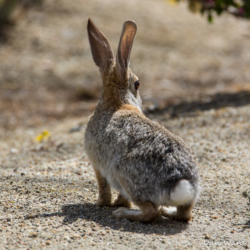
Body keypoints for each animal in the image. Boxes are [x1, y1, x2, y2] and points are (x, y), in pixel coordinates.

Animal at [84, 19, 201, 223]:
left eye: (137, 84)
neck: (118, 103)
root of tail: (179, 183)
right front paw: (118, 203)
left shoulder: (98, 166)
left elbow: (103, 188)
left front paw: (102, 204)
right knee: (184, 214)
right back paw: (167, 211)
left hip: (126, 176)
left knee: (150, 212)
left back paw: (124, 213)